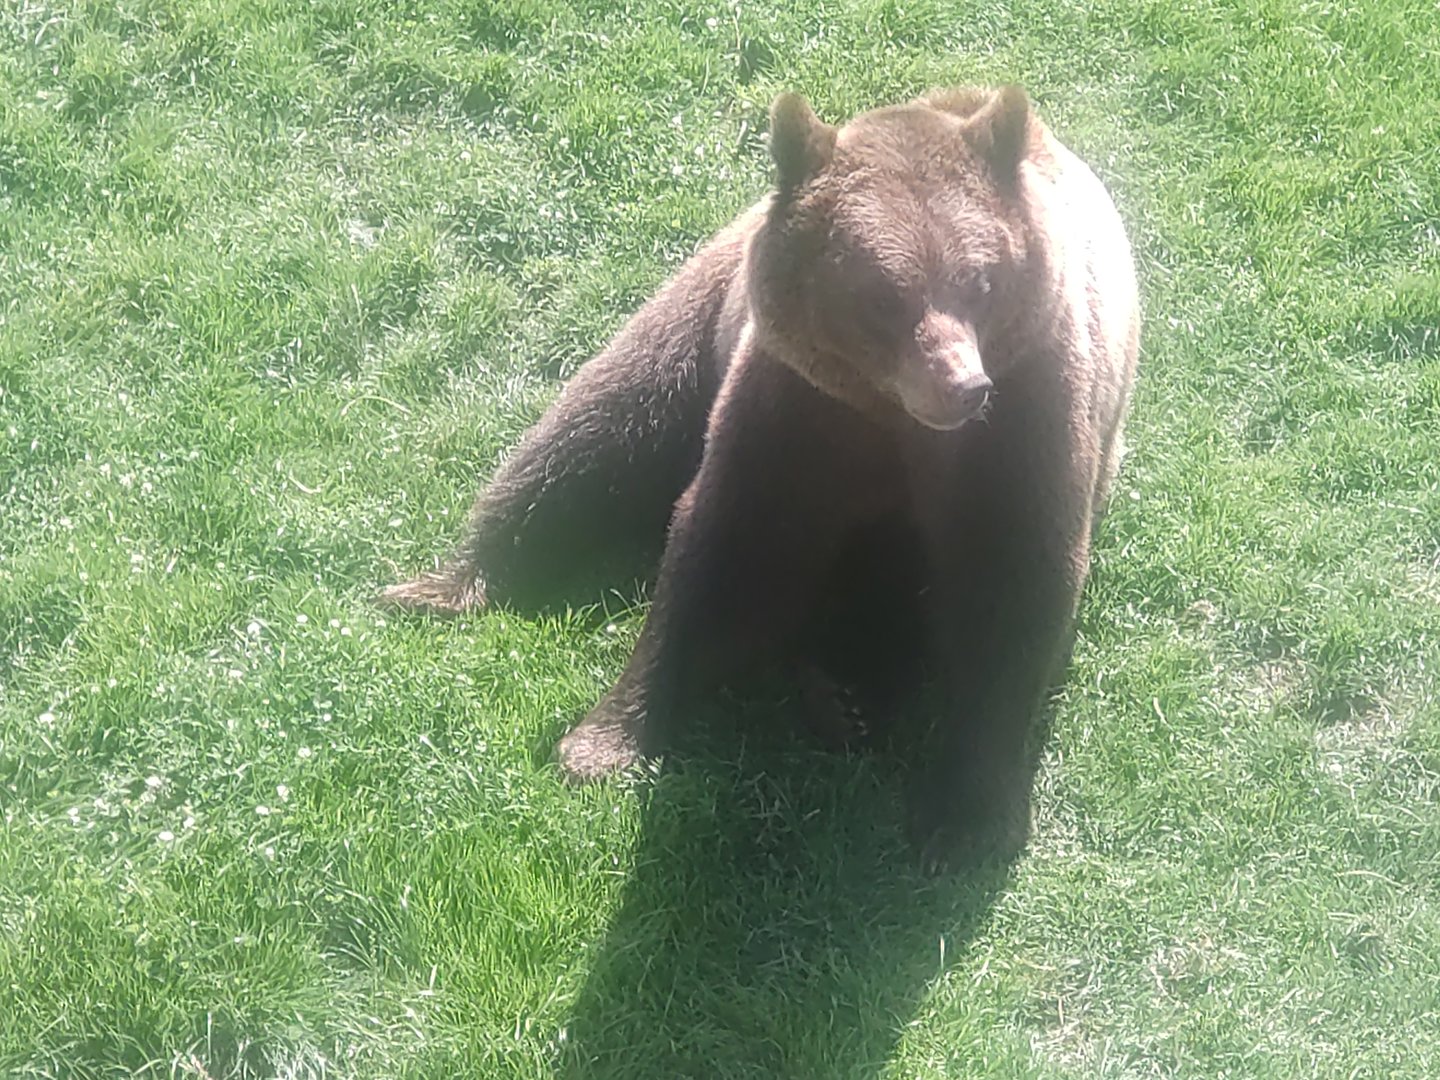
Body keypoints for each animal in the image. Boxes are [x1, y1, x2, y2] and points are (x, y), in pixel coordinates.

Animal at [381, 85, 1140, 864]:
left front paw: (964, 815)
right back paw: (441, 586)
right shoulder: (795, 409)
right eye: (881, 294)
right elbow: (729, 543)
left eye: (979, 281)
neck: (888, 417)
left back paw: (848, 690)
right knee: (590, 433)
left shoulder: (1021, 421)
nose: (960, 388)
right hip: (696, 321)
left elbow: (1012, 587)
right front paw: (604, 742)